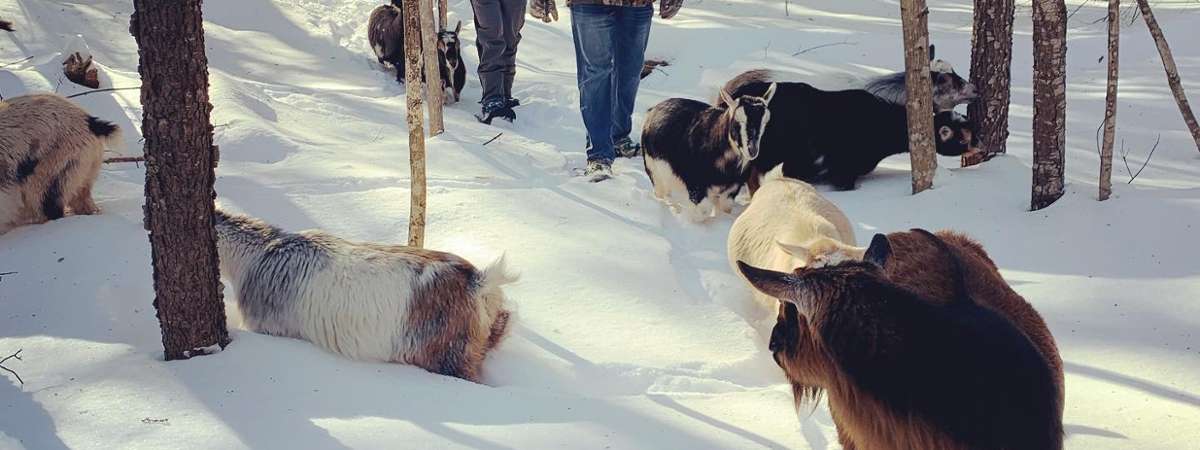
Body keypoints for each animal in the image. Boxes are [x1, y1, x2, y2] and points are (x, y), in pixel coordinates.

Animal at [643, 84, 782, 223]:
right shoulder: (695, 183)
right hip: (653, 169)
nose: (752, 150)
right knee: (661, 192)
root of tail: (654, 109)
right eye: (738, 121)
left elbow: (725, 208)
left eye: (765, 122)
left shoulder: (731, 189)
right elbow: (703, 211)